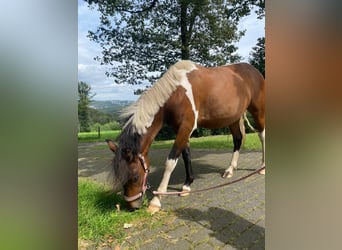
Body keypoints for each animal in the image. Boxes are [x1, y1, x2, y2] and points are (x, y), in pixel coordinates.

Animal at [106, 60, 264, 213]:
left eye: (135, 177)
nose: (132, 207)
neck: (178, 93)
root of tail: (254, 71)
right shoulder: (181, 129)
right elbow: (186, 155)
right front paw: (187, 185)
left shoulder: (186, 127)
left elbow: (170, 161)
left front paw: (156, 201)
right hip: (233, 118)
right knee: (237, 140)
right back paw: (230, 170)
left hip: (258, 111)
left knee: (262, 135)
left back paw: (262, 167)